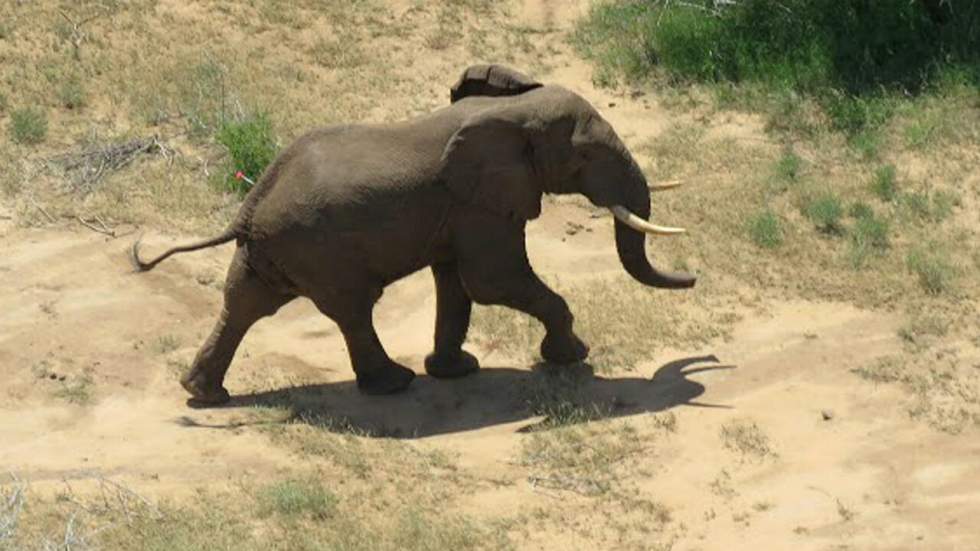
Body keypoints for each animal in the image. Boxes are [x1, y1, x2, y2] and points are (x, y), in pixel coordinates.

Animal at [132, 66, 696, 410]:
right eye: (583, 157)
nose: (693, 275)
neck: (510, 113)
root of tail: (249, 207)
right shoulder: (481, 204)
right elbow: (493, 280)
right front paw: (572, 357)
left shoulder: (461, 209)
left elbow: (458, 284)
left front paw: (456, 372)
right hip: (319, 251)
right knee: (351, 310)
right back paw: (393, 384)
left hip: (270, 252)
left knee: (243, 304)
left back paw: (204, 395)